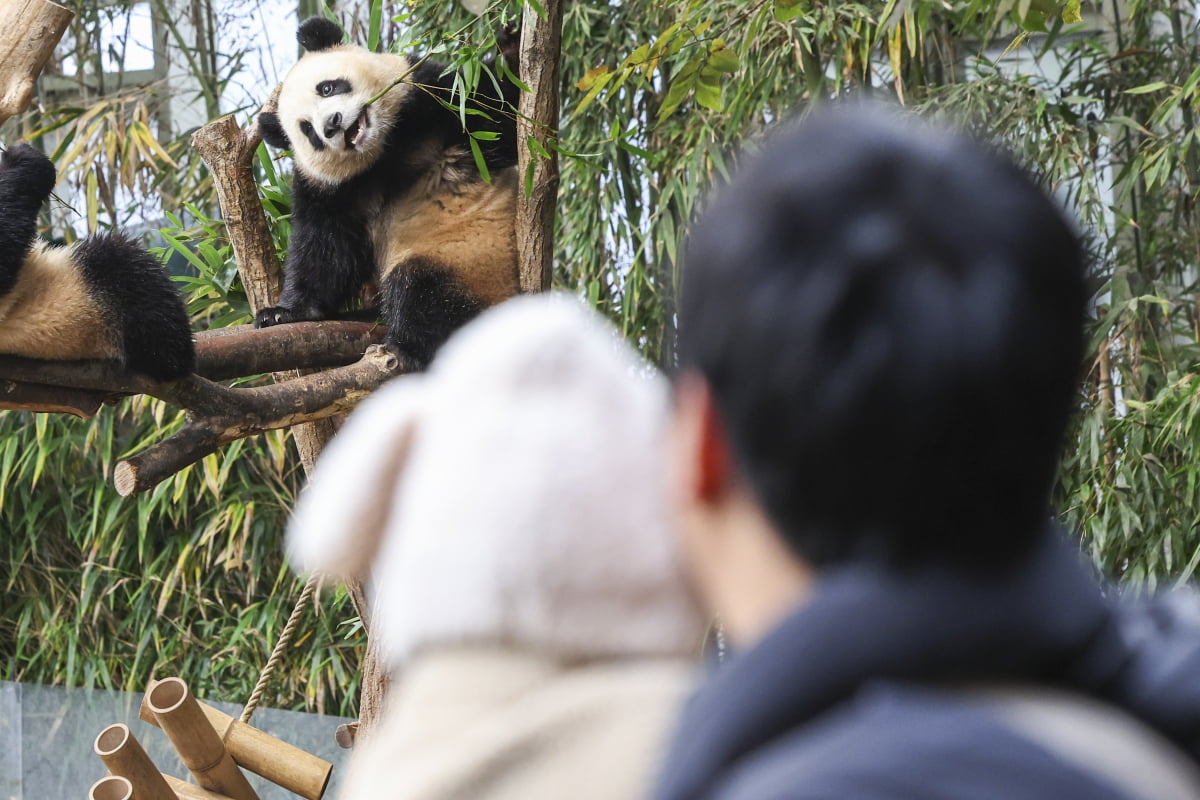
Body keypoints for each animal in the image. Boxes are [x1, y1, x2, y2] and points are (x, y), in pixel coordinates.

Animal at [258, 17, 520, 369]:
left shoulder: (435, 95)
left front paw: (511, 50)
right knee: (422, 293)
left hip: (481, 259)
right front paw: (283, 312)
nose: (332, 125)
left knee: (418, 290)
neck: (384, 149)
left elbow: (497, 112)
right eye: (308, 130)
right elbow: (324, 248)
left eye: (327, 87)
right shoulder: (331, 189)